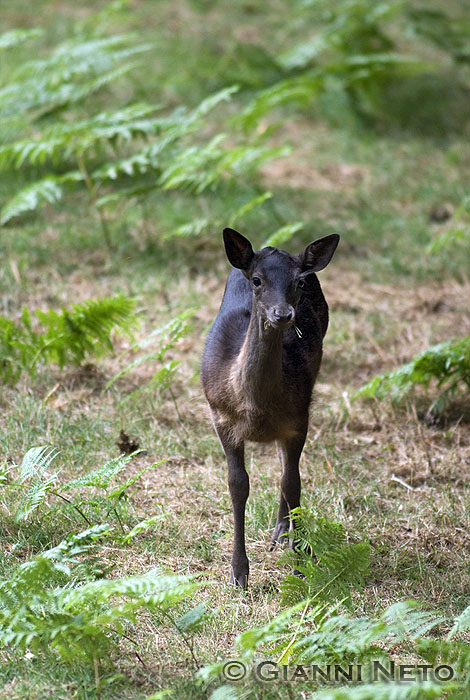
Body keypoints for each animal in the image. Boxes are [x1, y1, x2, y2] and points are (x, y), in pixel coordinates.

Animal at [200, 227, 340, 588]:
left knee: (285, 469)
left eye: (299, 282)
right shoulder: (220, 417)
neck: (254, 408)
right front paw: (238, 573)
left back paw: (282, 532)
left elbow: (293, 483)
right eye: (257, 280)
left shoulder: (298, 418)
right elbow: (238, 485)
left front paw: (300, 563)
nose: (283, 314)